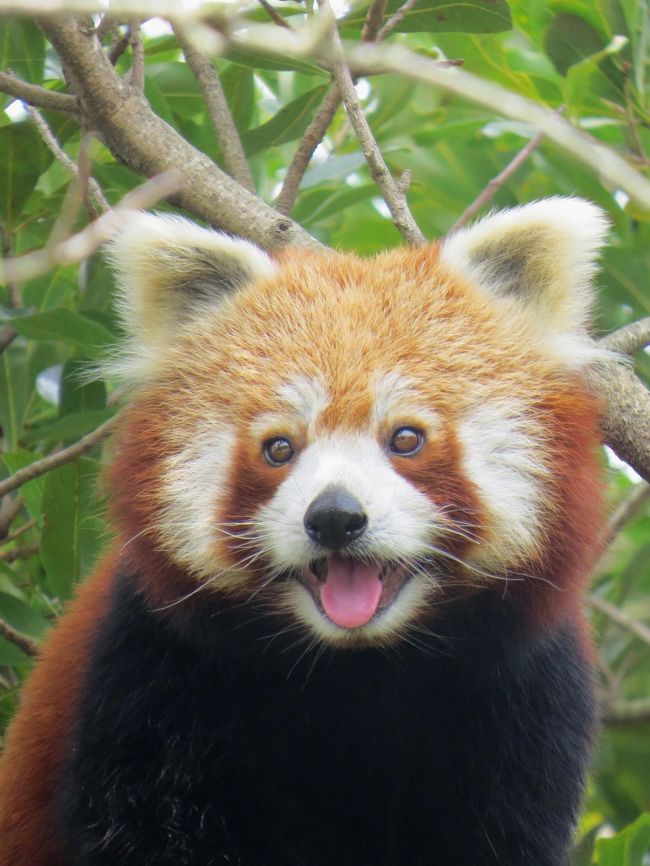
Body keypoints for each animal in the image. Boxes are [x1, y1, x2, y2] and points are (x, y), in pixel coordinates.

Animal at [0, 199, 604, 864]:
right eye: (279, 448)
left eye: (406, 438)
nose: (335, 516)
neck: (354, 670)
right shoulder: (147, 676)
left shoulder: (527, 699)